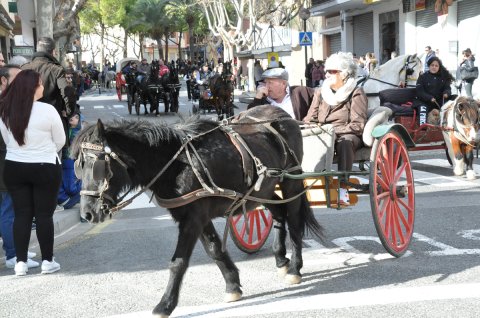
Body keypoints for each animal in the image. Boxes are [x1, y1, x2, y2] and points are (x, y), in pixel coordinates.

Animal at [71, 105, 324, 318]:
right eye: (77, 167)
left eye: (97, 165)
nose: (87, 213)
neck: (178, 163)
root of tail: (282, 113)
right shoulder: (196, 216)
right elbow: (214, 250)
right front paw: (233, 285)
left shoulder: (193, 218)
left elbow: (179, 262)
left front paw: (165, 304)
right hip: (263, 190)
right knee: (279, 213)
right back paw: (281, 258)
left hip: (291, 180)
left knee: (293, 220)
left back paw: (294, 268)